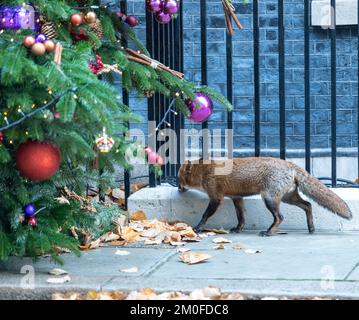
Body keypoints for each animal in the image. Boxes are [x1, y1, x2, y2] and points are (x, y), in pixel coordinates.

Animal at [179, 156, 352, 236]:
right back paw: (311, 228)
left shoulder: (216, 198)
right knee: (308, 205)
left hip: (269, 199)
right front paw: (238, 229)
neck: (204, 172)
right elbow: (241, 217)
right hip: (288, 198)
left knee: (280, 217)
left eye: (178, 178)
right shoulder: (236, 198)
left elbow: (205, 215)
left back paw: (269, 232)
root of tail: (290, 164)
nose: (179, 188)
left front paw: (198, 228)